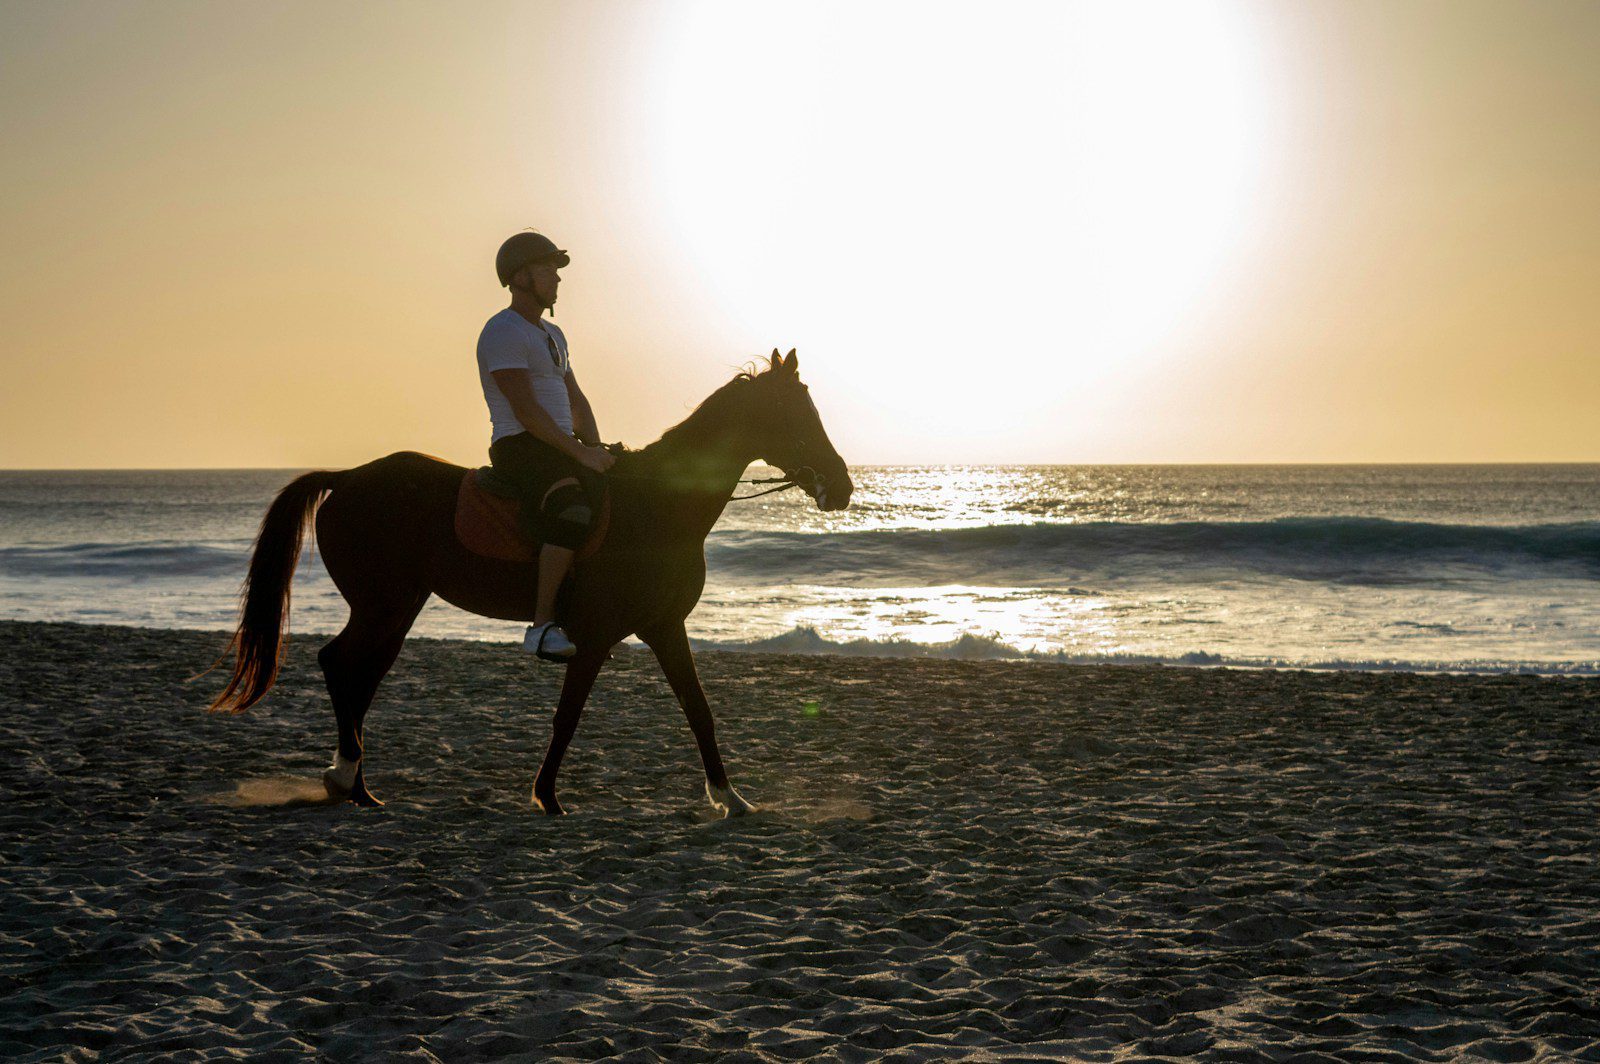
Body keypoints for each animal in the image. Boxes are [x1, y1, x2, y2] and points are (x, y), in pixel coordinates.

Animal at [209, 349, 852, 816]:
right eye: (794, 415)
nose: (843, 487)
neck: (657, 508)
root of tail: (347, 478)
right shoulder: (594, 637)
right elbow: (567, 717)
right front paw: (547, 798)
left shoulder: (666, 627)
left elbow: (699, 709)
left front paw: (731, 798)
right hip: (382, 605)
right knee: (341, 666)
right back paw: (349, 780)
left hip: (397, 607)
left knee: (358, 674)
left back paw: (355, 784)